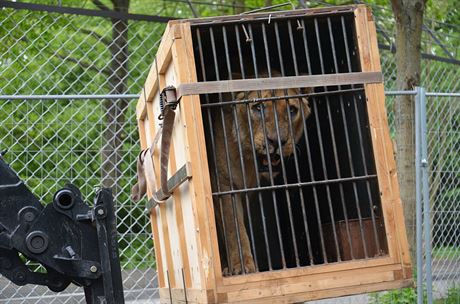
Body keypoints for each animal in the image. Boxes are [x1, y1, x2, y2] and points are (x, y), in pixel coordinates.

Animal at [209, 83, 312, 276]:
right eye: (258, 107)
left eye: (292, 110)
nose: (277, 141)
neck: (249, 159)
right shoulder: (224, 184)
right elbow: (234, 228)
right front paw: (242, 266)